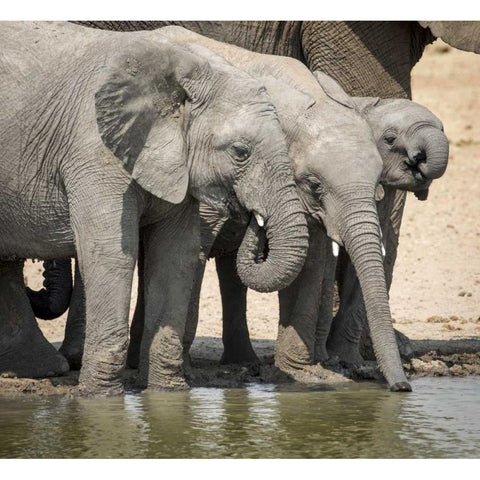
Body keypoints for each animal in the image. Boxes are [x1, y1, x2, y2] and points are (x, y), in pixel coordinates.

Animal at [0, 22, 308, 394]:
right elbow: (112, 254)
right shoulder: (93, 151)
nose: (254, 218)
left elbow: (175, 255)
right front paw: (99, 399)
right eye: (240, 152)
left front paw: (168, 394)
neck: (186, 70)